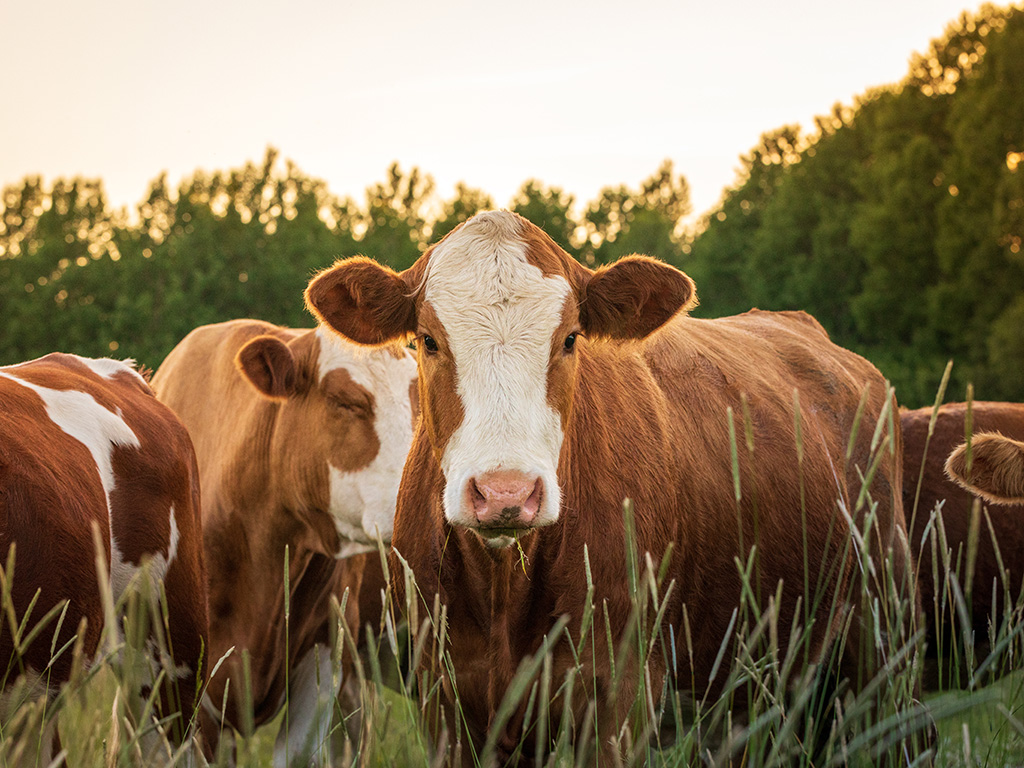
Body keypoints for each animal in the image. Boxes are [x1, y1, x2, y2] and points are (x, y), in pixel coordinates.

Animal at [305, 208, 921, 765]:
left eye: (570, 338)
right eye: (429, 340)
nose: (506, 493)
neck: (504, 588)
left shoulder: (617, 698)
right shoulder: (444, 701)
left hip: (882, 640)